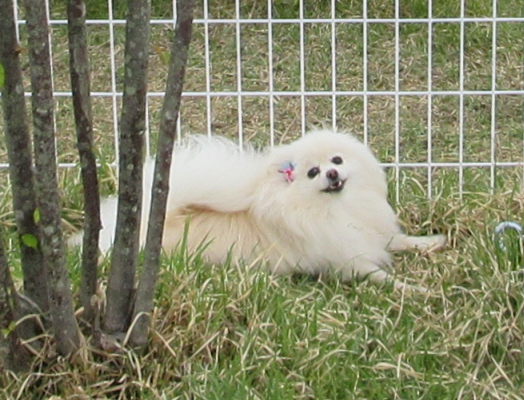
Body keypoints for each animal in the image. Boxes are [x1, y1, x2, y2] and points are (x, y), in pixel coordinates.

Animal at [71, 129, 446, 291]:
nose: (331, 174)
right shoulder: (350, 263)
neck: (337, 209)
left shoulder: (369, 235)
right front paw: (416, 290)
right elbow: (382, 277)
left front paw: (431, 242)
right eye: (312, 173)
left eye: (337, 160)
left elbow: (399, 240)